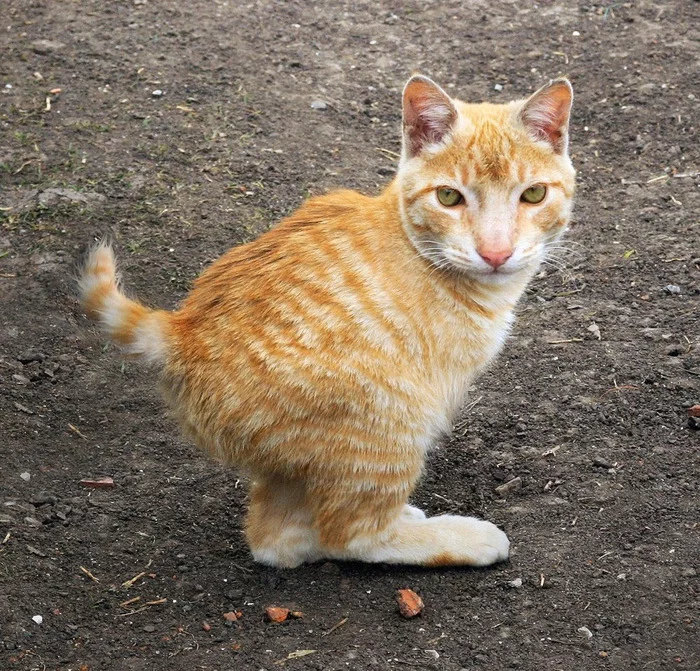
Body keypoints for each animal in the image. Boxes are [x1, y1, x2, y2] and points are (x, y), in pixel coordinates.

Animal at [80, 76, 576, 568]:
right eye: (449, 197)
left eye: (533, 194)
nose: (496, 252)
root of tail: (181, 333)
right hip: (391, 421)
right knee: (349, 535)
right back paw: (455, 537)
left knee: (274, 541)